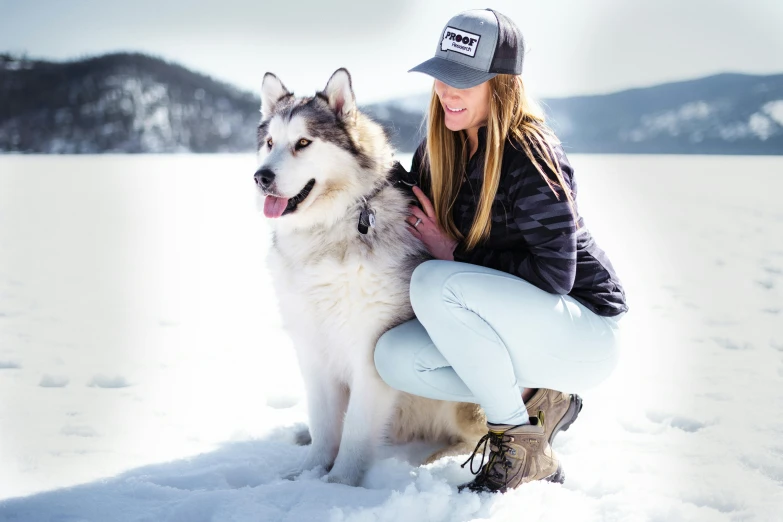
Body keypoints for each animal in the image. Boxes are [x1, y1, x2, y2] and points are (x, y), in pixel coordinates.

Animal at [258, 67, 486, 486]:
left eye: (303, 142)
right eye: (269, 143)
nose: (260, 176)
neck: (331, 228)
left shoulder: (369, 353)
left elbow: (356, 430)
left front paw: (337, 485)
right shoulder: (312, 349)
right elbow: (324, 423)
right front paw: (308, 473)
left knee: (476, 434)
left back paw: (435, 460)